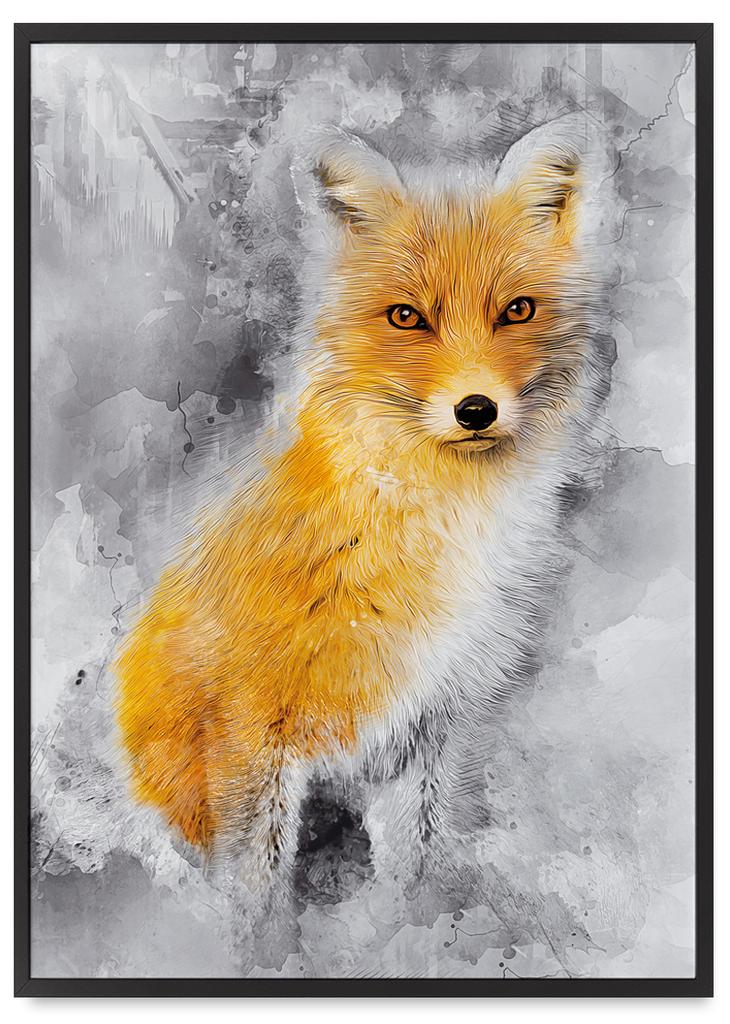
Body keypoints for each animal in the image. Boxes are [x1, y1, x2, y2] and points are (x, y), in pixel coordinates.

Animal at [116, 114, 611, 902]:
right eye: (406, 317)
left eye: (517, 311)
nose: (476, 409)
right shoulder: (250, 724)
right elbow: (254, 892)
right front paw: (252, 934)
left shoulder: (437, 720)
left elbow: (418, 869)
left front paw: (416, 926)